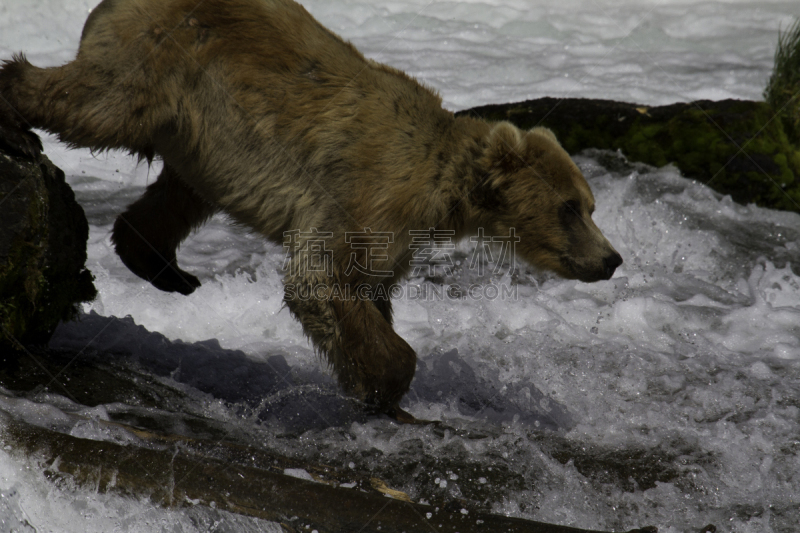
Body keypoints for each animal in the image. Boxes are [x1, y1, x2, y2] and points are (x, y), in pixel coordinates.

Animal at [0, 0, 620, 418]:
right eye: (571, 207)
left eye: (590, 205)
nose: (612, 258)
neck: (443, 191)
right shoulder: (366, 194)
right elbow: (322, 279)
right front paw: (389, 387)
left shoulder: (395, 233)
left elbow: (365, 293)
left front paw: (371, 384)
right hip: (160, 65)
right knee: (97, 103)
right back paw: (15, 114)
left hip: (202, 140)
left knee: (175, 195)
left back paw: (168, 268)